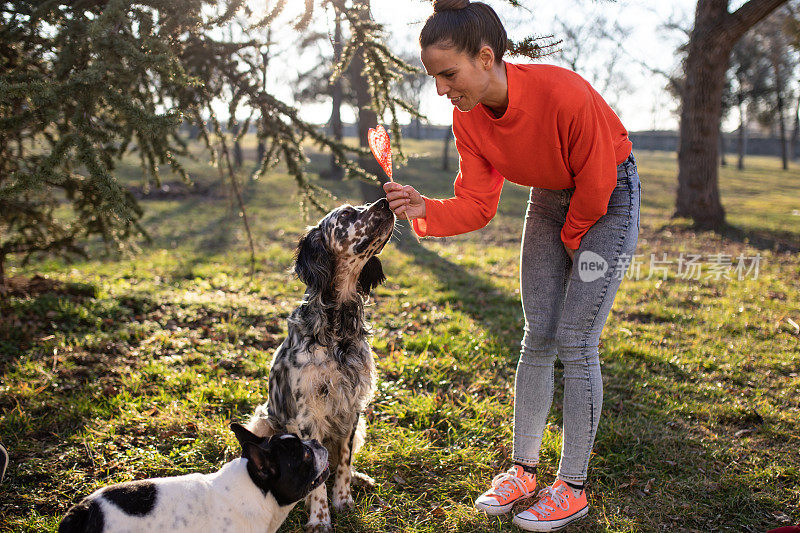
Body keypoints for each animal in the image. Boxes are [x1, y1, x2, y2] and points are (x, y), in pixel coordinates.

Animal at [245, 197, 392, 528]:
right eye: (347, 214)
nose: (386, 202)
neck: (338, 327)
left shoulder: (352, 409)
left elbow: (342, 465)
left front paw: (343, 500)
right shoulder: (307, 413)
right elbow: (317, 475)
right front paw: (320, 518)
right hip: (262, 422)